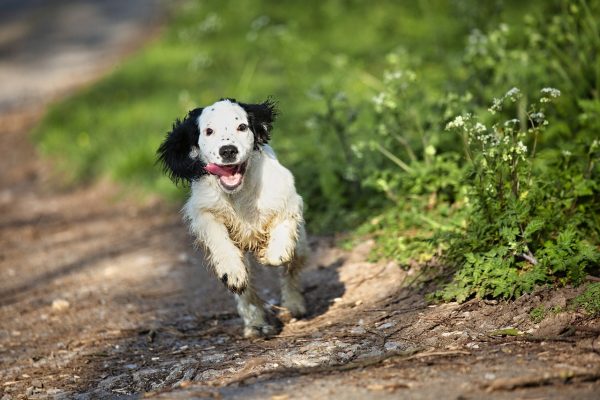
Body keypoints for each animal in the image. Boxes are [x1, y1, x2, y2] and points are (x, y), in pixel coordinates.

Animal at [157, 97, 308, 338]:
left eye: (242, 127)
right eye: (208, 131)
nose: (228, 150)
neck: (239, 193)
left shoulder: (288, 198)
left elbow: (282, 240)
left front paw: (272, 253)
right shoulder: (203, 211)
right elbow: (218, 239)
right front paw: (232, 271)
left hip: (301, 246)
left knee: (291, 271)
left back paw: (294, 304)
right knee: (247, 289)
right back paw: (256, 324)